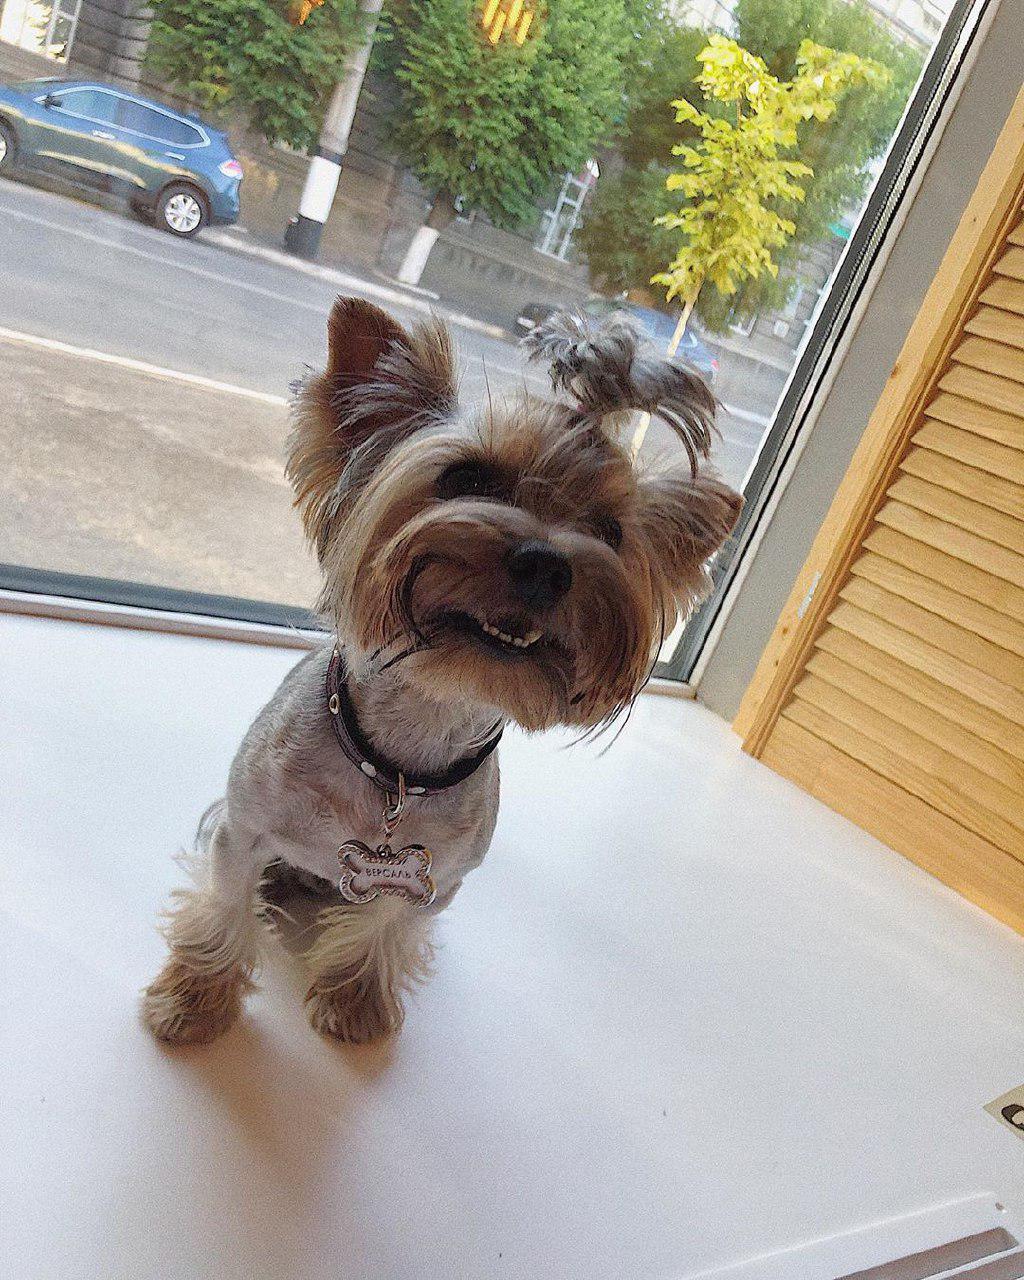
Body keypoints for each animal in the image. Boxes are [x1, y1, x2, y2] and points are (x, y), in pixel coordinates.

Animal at [140, 302, 742, 1049]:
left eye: (610, 531)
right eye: (467, 479)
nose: (548, 564)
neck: (402, 756)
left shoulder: (436, 879)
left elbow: (387, 924)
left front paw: (355, 1000)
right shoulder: (243, 830)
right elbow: (224, 906)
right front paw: (193, 999)